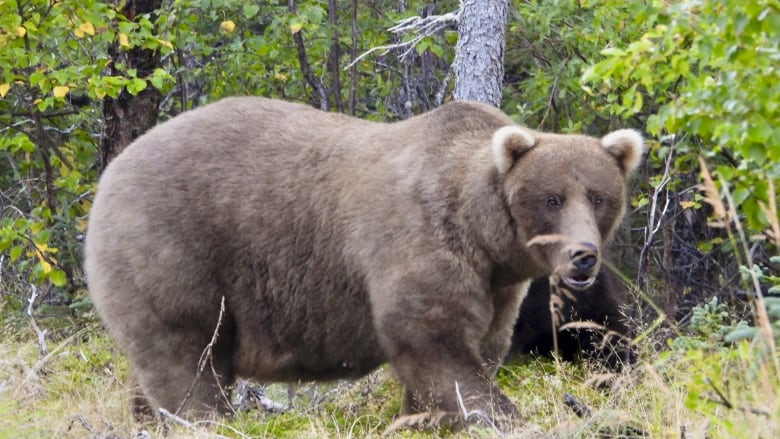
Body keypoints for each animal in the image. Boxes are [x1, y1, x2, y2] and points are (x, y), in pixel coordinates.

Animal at [85, 97, 644, 430]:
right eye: (551, 198)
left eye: (598, 197)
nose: (582, 256)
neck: (483, 235)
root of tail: (111, 170)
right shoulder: (419, 241)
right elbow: (434, 343)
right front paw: (499, 416)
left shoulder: (497, 286)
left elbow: (480, 346)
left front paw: (421, 419)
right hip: (175, 252)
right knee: (189, 361)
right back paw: (204, 421)